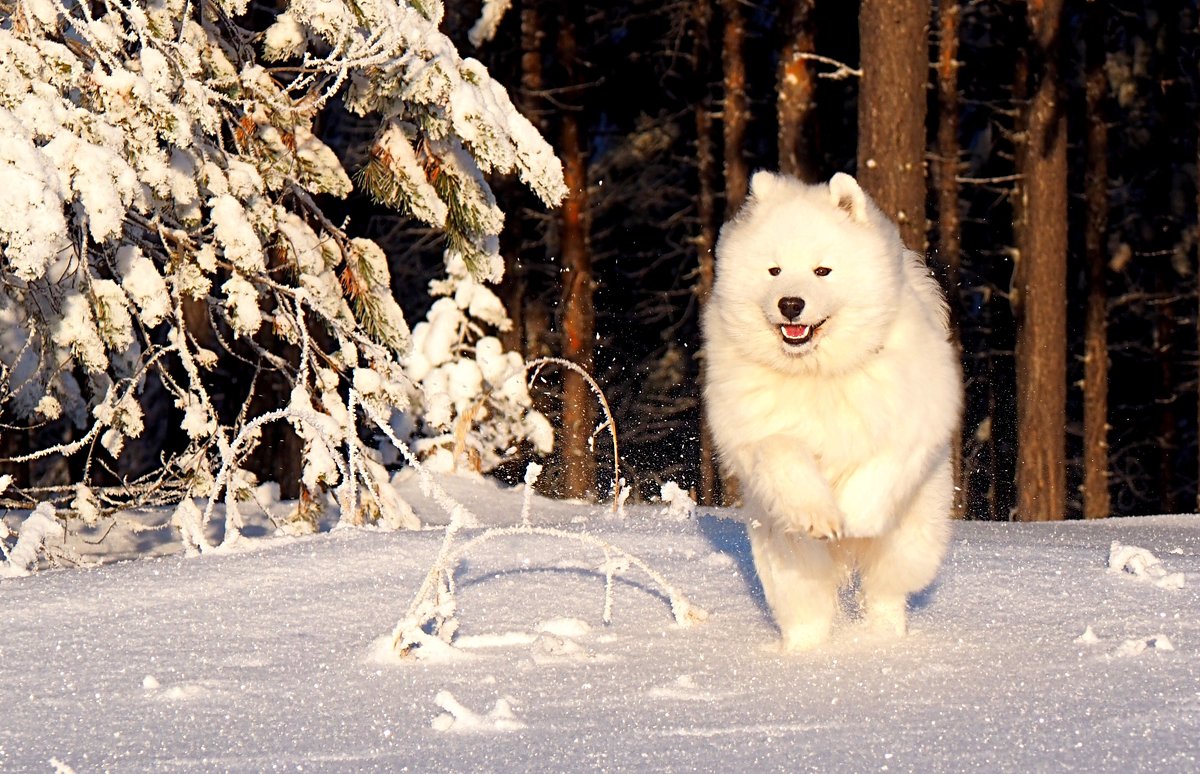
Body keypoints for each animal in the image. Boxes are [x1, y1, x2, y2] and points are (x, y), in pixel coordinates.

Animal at [700, 171, 960, 648]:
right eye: (774, 270)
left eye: (823, 270)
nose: (790, 303)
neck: (816, 374)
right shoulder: (757, 432)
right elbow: (784, 455)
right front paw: (820, 515)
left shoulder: (914, 419)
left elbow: (881, 466)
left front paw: (854, 515)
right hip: (784, 555)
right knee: (807, 607)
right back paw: (804, 652)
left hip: (913, 538)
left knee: (885, 591)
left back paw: (885, 640)